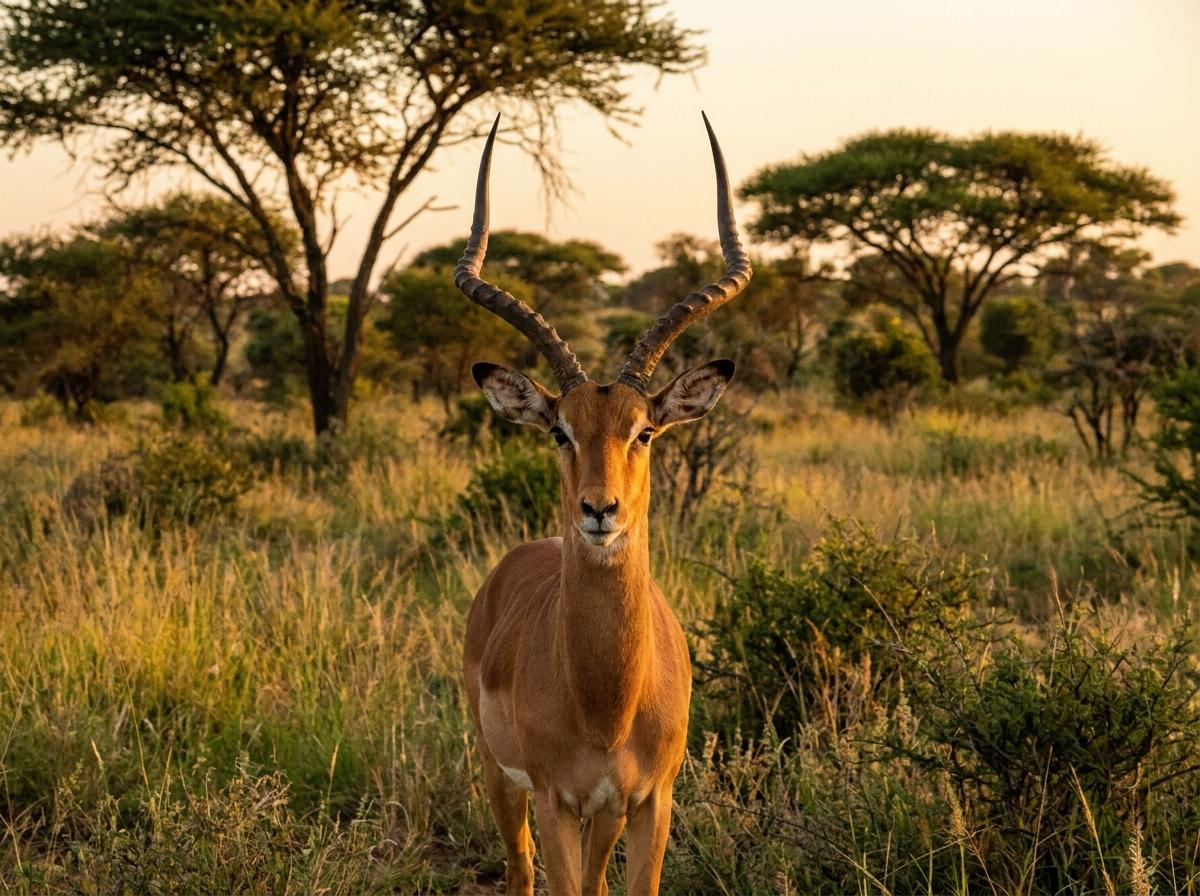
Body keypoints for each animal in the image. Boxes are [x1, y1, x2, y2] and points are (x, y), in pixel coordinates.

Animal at [460, 112, 751, 896]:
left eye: (644, 431)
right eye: (561, 430)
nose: (599, 511)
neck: (606, 705)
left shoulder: (649, 802)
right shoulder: (557, 801)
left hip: (605, 816)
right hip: (500, 780)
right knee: (520, 870)